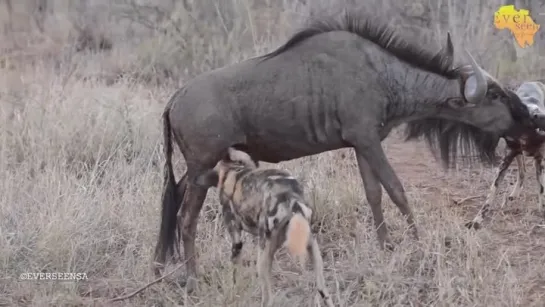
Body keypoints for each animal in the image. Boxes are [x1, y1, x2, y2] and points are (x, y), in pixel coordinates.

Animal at [193, 147, 334, 307]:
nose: (195, 178)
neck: (234, 170)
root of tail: (292, 200)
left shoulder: (236, 240)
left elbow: (234, 274)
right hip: (313, 249)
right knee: (324, 291)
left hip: (263, 257)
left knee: (268, 298)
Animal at [466, 80, 544, 230]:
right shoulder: (506, 160)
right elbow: (492, 192)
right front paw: (477, 220)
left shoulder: (539, 160)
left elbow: (541, 189)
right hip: (518, 156)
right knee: (522, 172)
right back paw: (514, 194)